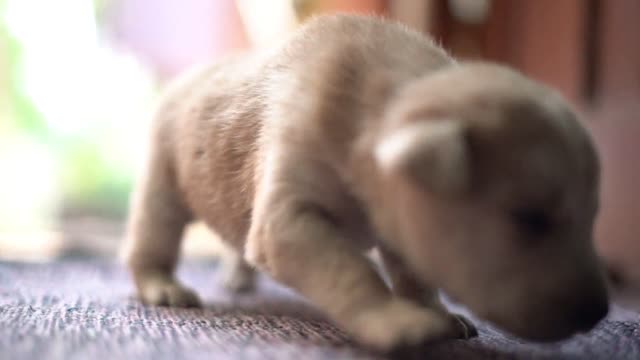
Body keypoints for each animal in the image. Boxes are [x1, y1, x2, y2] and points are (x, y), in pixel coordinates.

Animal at [124, 14, 604, 352]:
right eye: (530, 218)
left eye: (591, 217)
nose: (597, 312)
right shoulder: (294, 203)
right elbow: (346, 266)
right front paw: (398, 320)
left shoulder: (403, 212)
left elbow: (414, 270)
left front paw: (436, 312)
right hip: (164, 169)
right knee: (154, 231)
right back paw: (163, 285)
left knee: (235, 235)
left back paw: (237, 276)